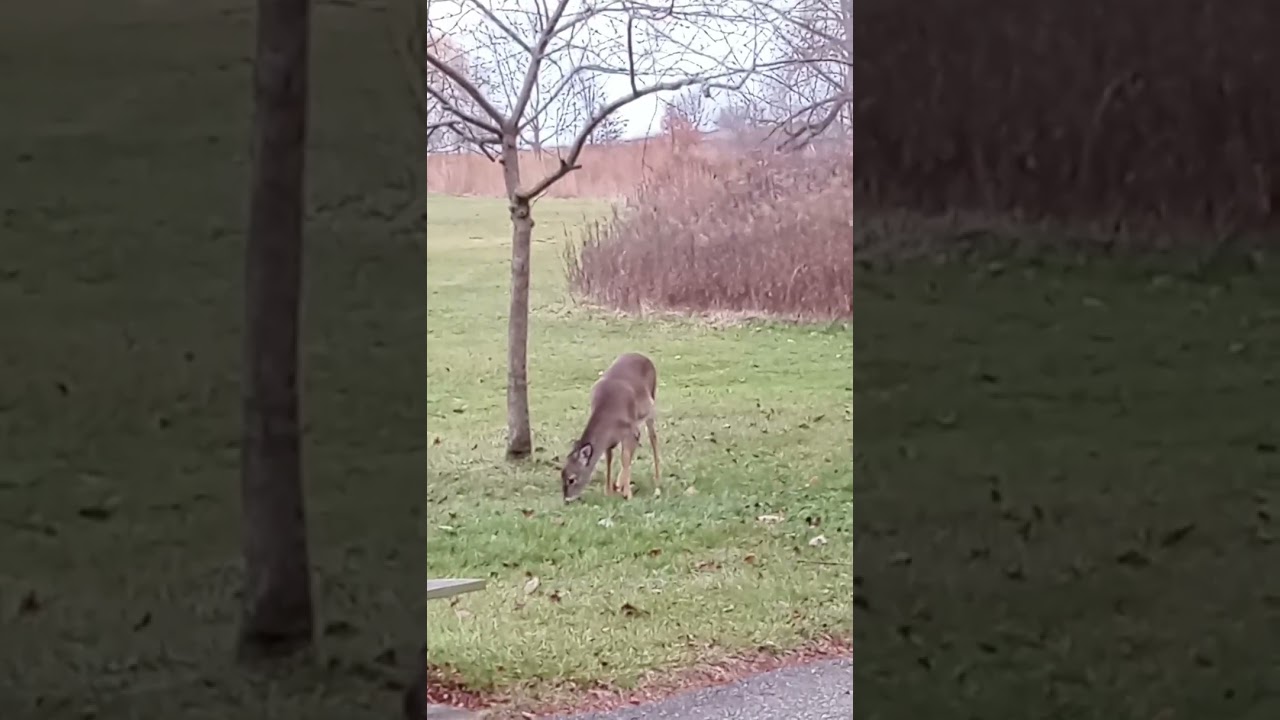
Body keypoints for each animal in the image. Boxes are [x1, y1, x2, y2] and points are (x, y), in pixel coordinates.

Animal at [561, 352, 661, 503]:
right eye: (562, 475)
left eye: (572, 479)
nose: (566, 499)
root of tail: (644, 356)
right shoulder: (611, 439)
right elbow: (609, 458)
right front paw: (609, 491)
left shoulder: (630, 430)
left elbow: (625, 457)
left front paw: (627, 494)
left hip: (651, 406)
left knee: (653, 438)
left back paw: (657, 478)